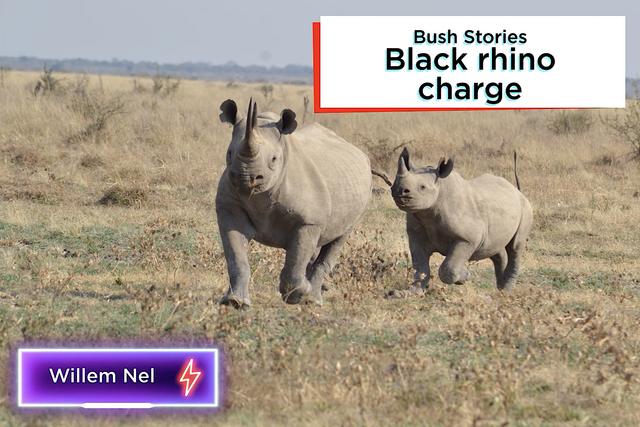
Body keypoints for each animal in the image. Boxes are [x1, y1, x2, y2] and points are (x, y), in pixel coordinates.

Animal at [216, 99, 372, 308]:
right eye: (229, 154)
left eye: (274, 159)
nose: (246, 177)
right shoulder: (229, 209)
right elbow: (236, 258)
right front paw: (234, 302)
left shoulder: (308, 221)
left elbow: (297, 257)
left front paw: (298, 295)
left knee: (338, 238)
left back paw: (313, 300)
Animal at [390, 148, 533, 293]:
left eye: (423, 187)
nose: (398, 191)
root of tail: (517, 191)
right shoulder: (416, 234)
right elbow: (420, 267)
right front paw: (408, 293)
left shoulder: (468, 239)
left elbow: (448, 270)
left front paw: (464, 275)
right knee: (495, 247)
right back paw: (500, 289)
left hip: (526, 209)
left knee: (515, 247)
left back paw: (506, 293)